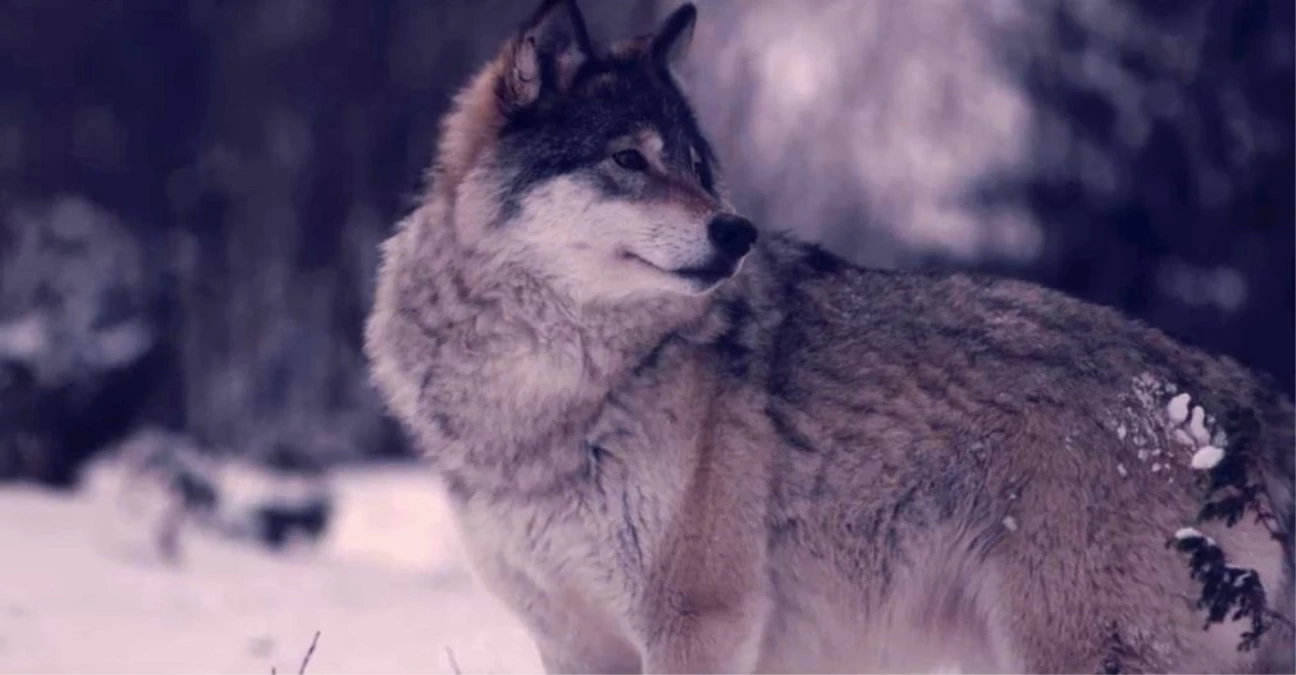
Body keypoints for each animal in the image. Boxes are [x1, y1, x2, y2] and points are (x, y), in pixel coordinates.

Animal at [362, 2, 1296, 668]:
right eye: (628, 160)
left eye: (697, 170)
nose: (735, 230)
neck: (548, 396)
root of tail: (1223, 393)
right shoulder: (570, 639)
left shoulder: (697, 622)